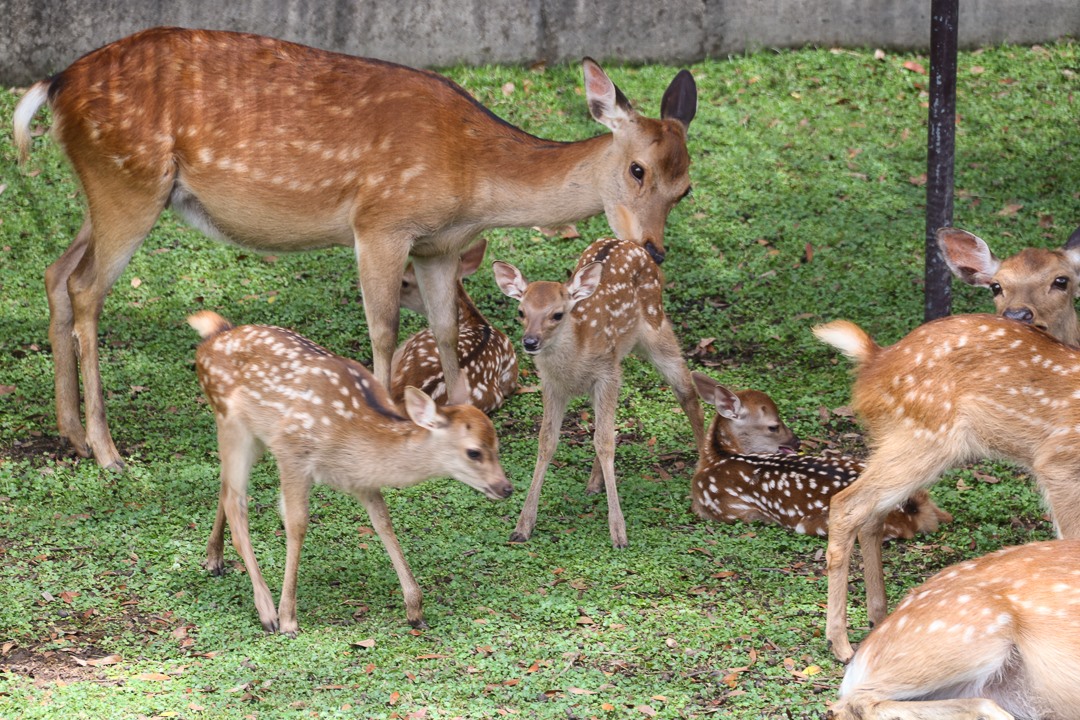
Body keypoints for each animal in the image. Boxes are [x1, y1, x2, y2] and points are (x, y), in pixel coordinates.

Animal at [187, 310, 512, 634]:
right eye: (474, 451)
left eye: (497, 444)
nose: (505, 487)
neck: (353, 435)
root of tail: (212, 336)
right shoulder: (293, 453)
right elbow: (297, 525)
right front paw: (289, 618)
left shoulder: (360, 479)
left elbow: (383, 522)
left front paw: (415, 610)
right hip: (231, 421)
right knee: (236, 501)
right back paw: (266, 612)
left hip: (253, 436)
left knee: (225, 486)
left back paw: (214, 559)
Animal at [493, 238, 706, 548]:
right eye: (521, 312)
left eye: (557, 314)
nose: (530, 342)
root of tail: (632, 243)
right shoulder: (552, 385)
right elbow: (547, 442)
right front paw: (522, 526)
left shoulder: (606, 374)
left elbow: (605, 442)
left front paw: (619, 533)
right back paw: (594, 483)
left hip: (656, 326)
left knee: (687, 391)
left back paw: (704, 465)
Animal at [814, 313, 1080, 663]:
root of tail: (875, 359)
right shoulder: (1057, 461)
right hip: (923, 438)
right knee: (847, 504)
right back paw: (841, 643)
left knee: (871, 516)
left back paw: (877, 619)